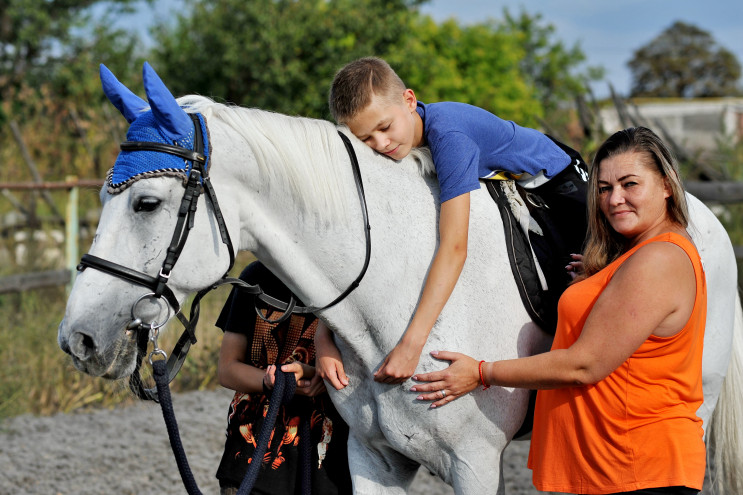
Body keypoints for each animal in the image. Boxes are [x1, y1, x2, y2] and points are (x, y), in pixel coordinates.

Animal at [59, 64, 743, 494]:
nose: (78, 339)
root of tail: (699, 216)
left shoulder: (475, 464)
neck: (399, 301)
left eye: (146, 203)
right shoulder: (372, 459)